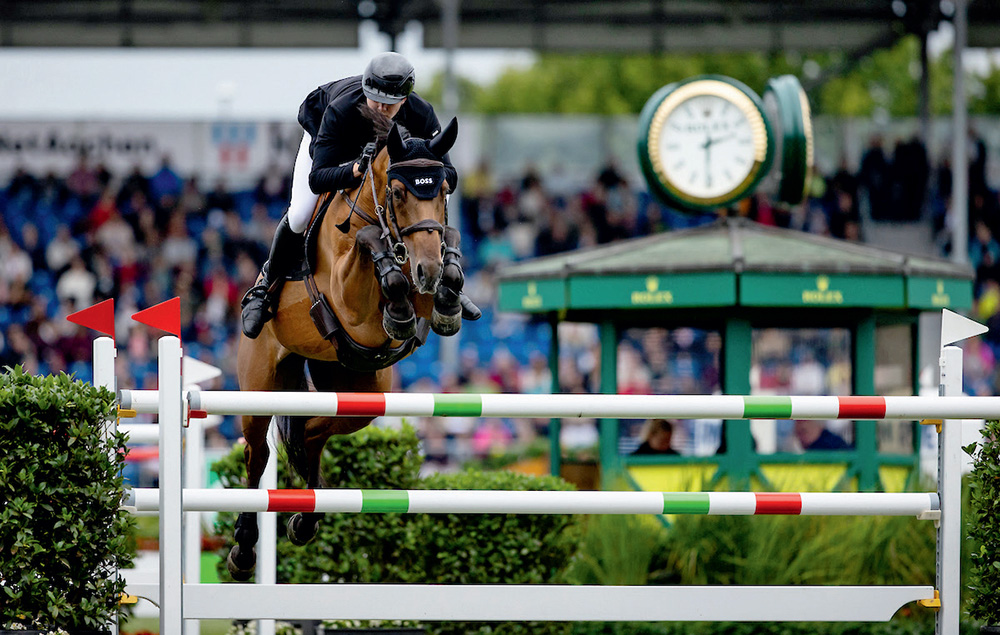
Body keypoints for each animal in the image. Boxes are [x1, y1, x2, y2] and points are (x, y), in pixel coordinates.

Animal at [229, 111, 466, 581]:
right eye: (398, 192)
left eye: (443, 190)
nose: (427, 271)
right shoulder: (347, 296)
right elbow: (368, 243)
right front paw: (397, 302)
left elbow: (449, 241)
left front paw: (447, 298)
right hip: (260, 385)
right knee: (258, 453)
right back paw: (244, 549)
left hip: (357, 391)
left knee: (311, 433)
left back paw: (305, 520)